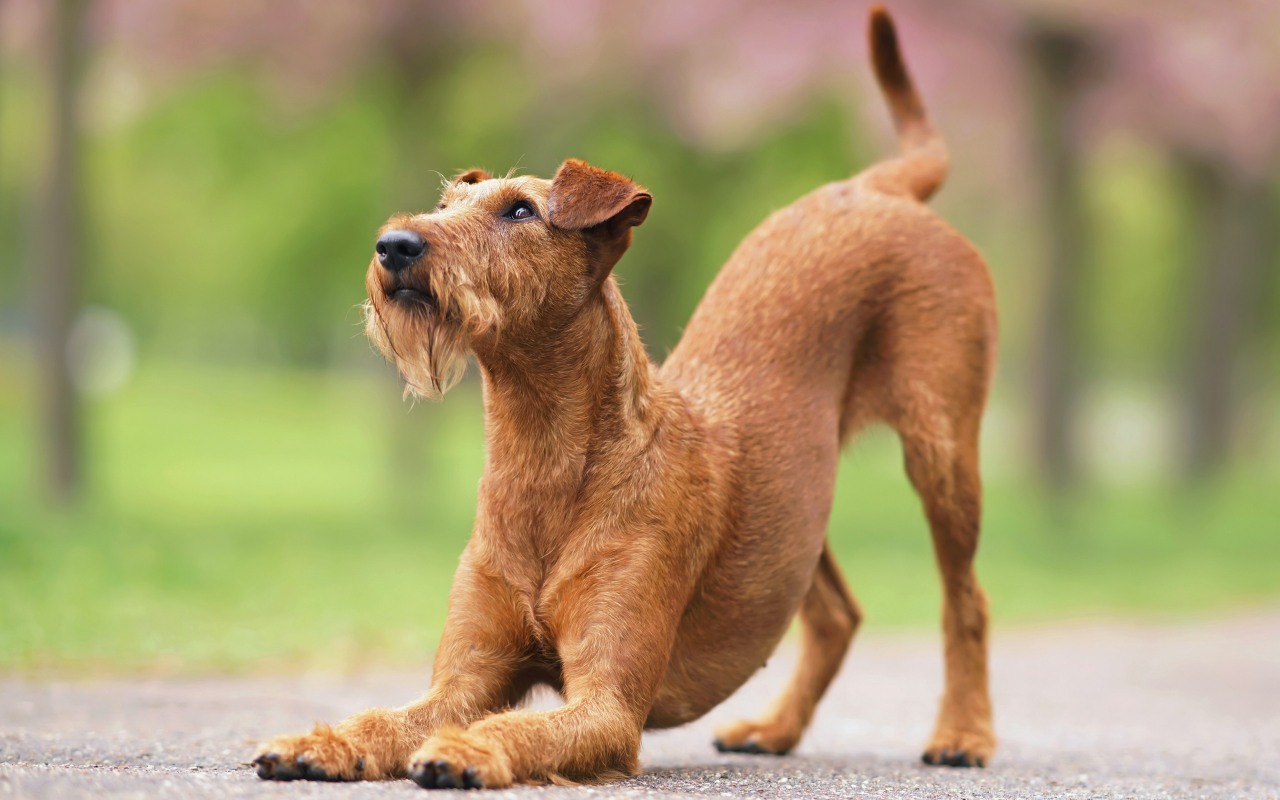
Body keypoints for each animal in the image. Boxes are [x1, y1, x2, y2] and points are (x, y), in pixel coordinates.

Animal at [252, 7, 998, 788]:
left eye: (521, 211)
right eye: (444, 205)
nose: (393, 244)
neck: (542, 457)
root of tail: (877, 187)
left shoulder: (609, 706)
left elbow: (516, 728)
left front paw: (467, 750)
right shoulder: (462, 679)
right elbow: (386, 718)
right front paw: (318, 741)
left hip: (941, 451)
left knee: (966, 602)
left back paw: (962, 734)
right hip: (797, 505)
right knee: (836, 614)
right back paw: (775, 727)